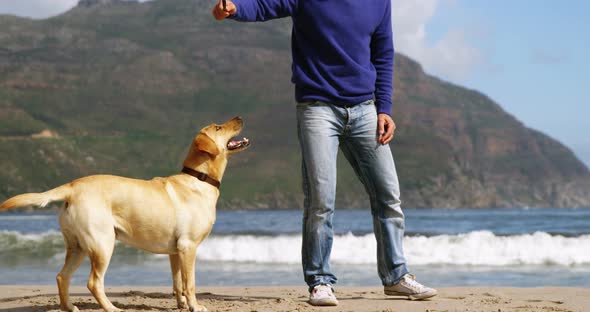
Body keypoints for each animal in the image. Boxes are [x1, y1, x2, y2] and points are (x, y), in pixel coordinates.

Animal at [0, 116, 250, 310]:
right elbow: (190, 283)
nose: (239, 117)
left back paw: (69, 307)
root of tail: (72, 185)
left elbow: (178, 282)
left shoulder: (175, 251)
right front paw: (195, 306)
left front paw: (181, 305)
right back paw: (111, 308)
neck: (199, 178)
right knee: (94, 282)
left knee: (62, 276)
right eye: (218, 127)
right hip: (102, 243)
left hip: (77, 246)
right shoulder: (188, 247)